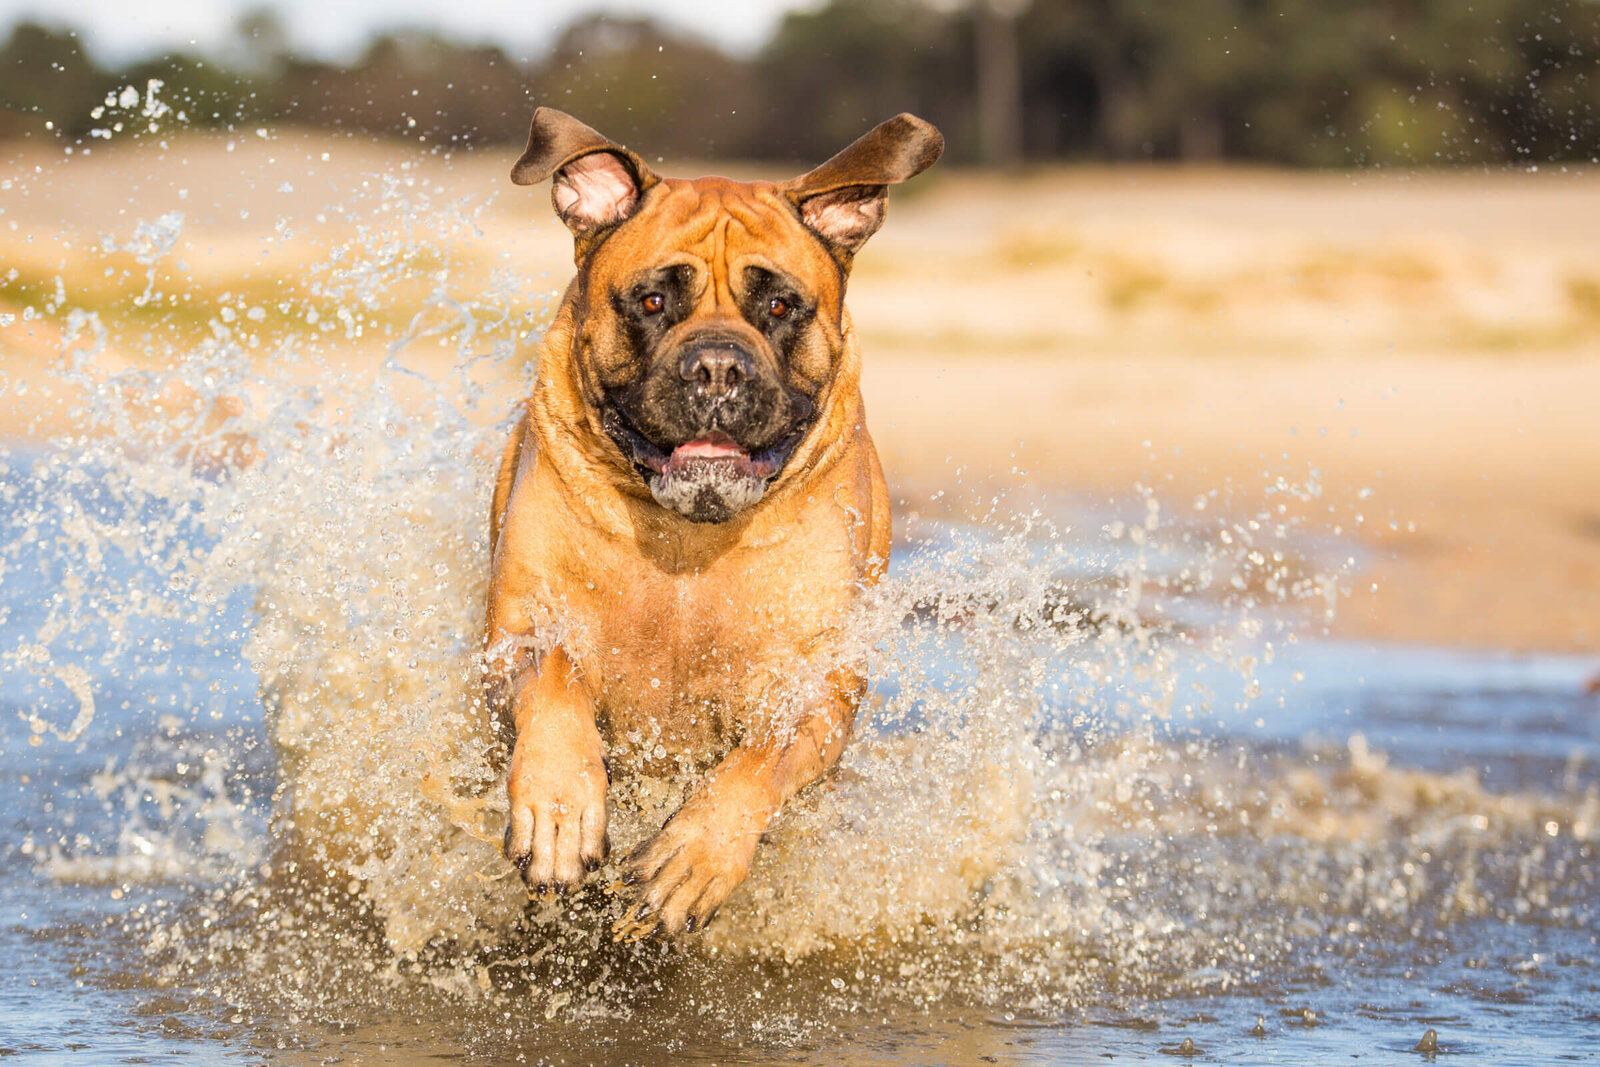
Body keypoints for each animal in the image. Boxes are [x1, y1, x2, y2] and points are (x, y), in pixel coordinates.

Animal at [483, 108, 934, 940]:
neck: (686, 536)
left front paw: (696, 853)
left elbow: (762, 753)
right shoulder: (515, 633)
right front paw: (560, 807)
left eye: (781, 307)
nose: (719, 367)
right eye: (653, 302)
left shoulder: (816, 686)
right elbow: (557, 678)